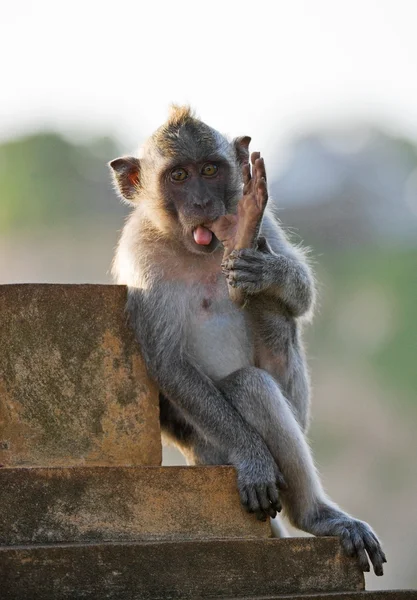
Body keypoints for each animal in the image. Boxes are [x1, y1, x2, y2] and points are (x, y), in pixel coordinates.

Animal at [109, 106, 386, 576]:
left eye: (209, 170)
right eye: (178, 176)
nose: (203, 204)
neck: (196, 252)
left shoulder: (267, 227)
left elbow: (302, 296)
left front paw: (265, 267)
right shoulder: (140, 258)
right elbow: (168, 363)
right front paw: (253, 458)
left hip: (295, 413)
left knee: (265, 351)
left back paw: (315, 515)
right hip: (210, 450)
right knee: (248, 385)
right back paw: (309, 512)